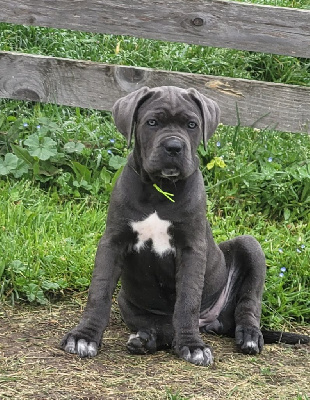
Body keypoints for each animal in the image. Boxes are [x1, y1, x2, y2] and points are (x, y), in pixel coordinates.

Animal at [60, 86, 308, 366]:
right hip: (129, 303)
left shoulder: (192, 248)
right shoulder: (113, 241)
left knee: (248, 303)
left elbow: (188, 299)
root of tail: (212, 323)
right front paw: (84, 336)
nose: (174, 146)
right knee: (164, 328)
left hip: (249, 246)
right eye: (152, 122)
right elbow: (99, 291)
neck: (159, 189)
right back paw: (145, 340)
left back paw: (249, 336)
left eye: (192, 124)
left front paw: (192, 345)